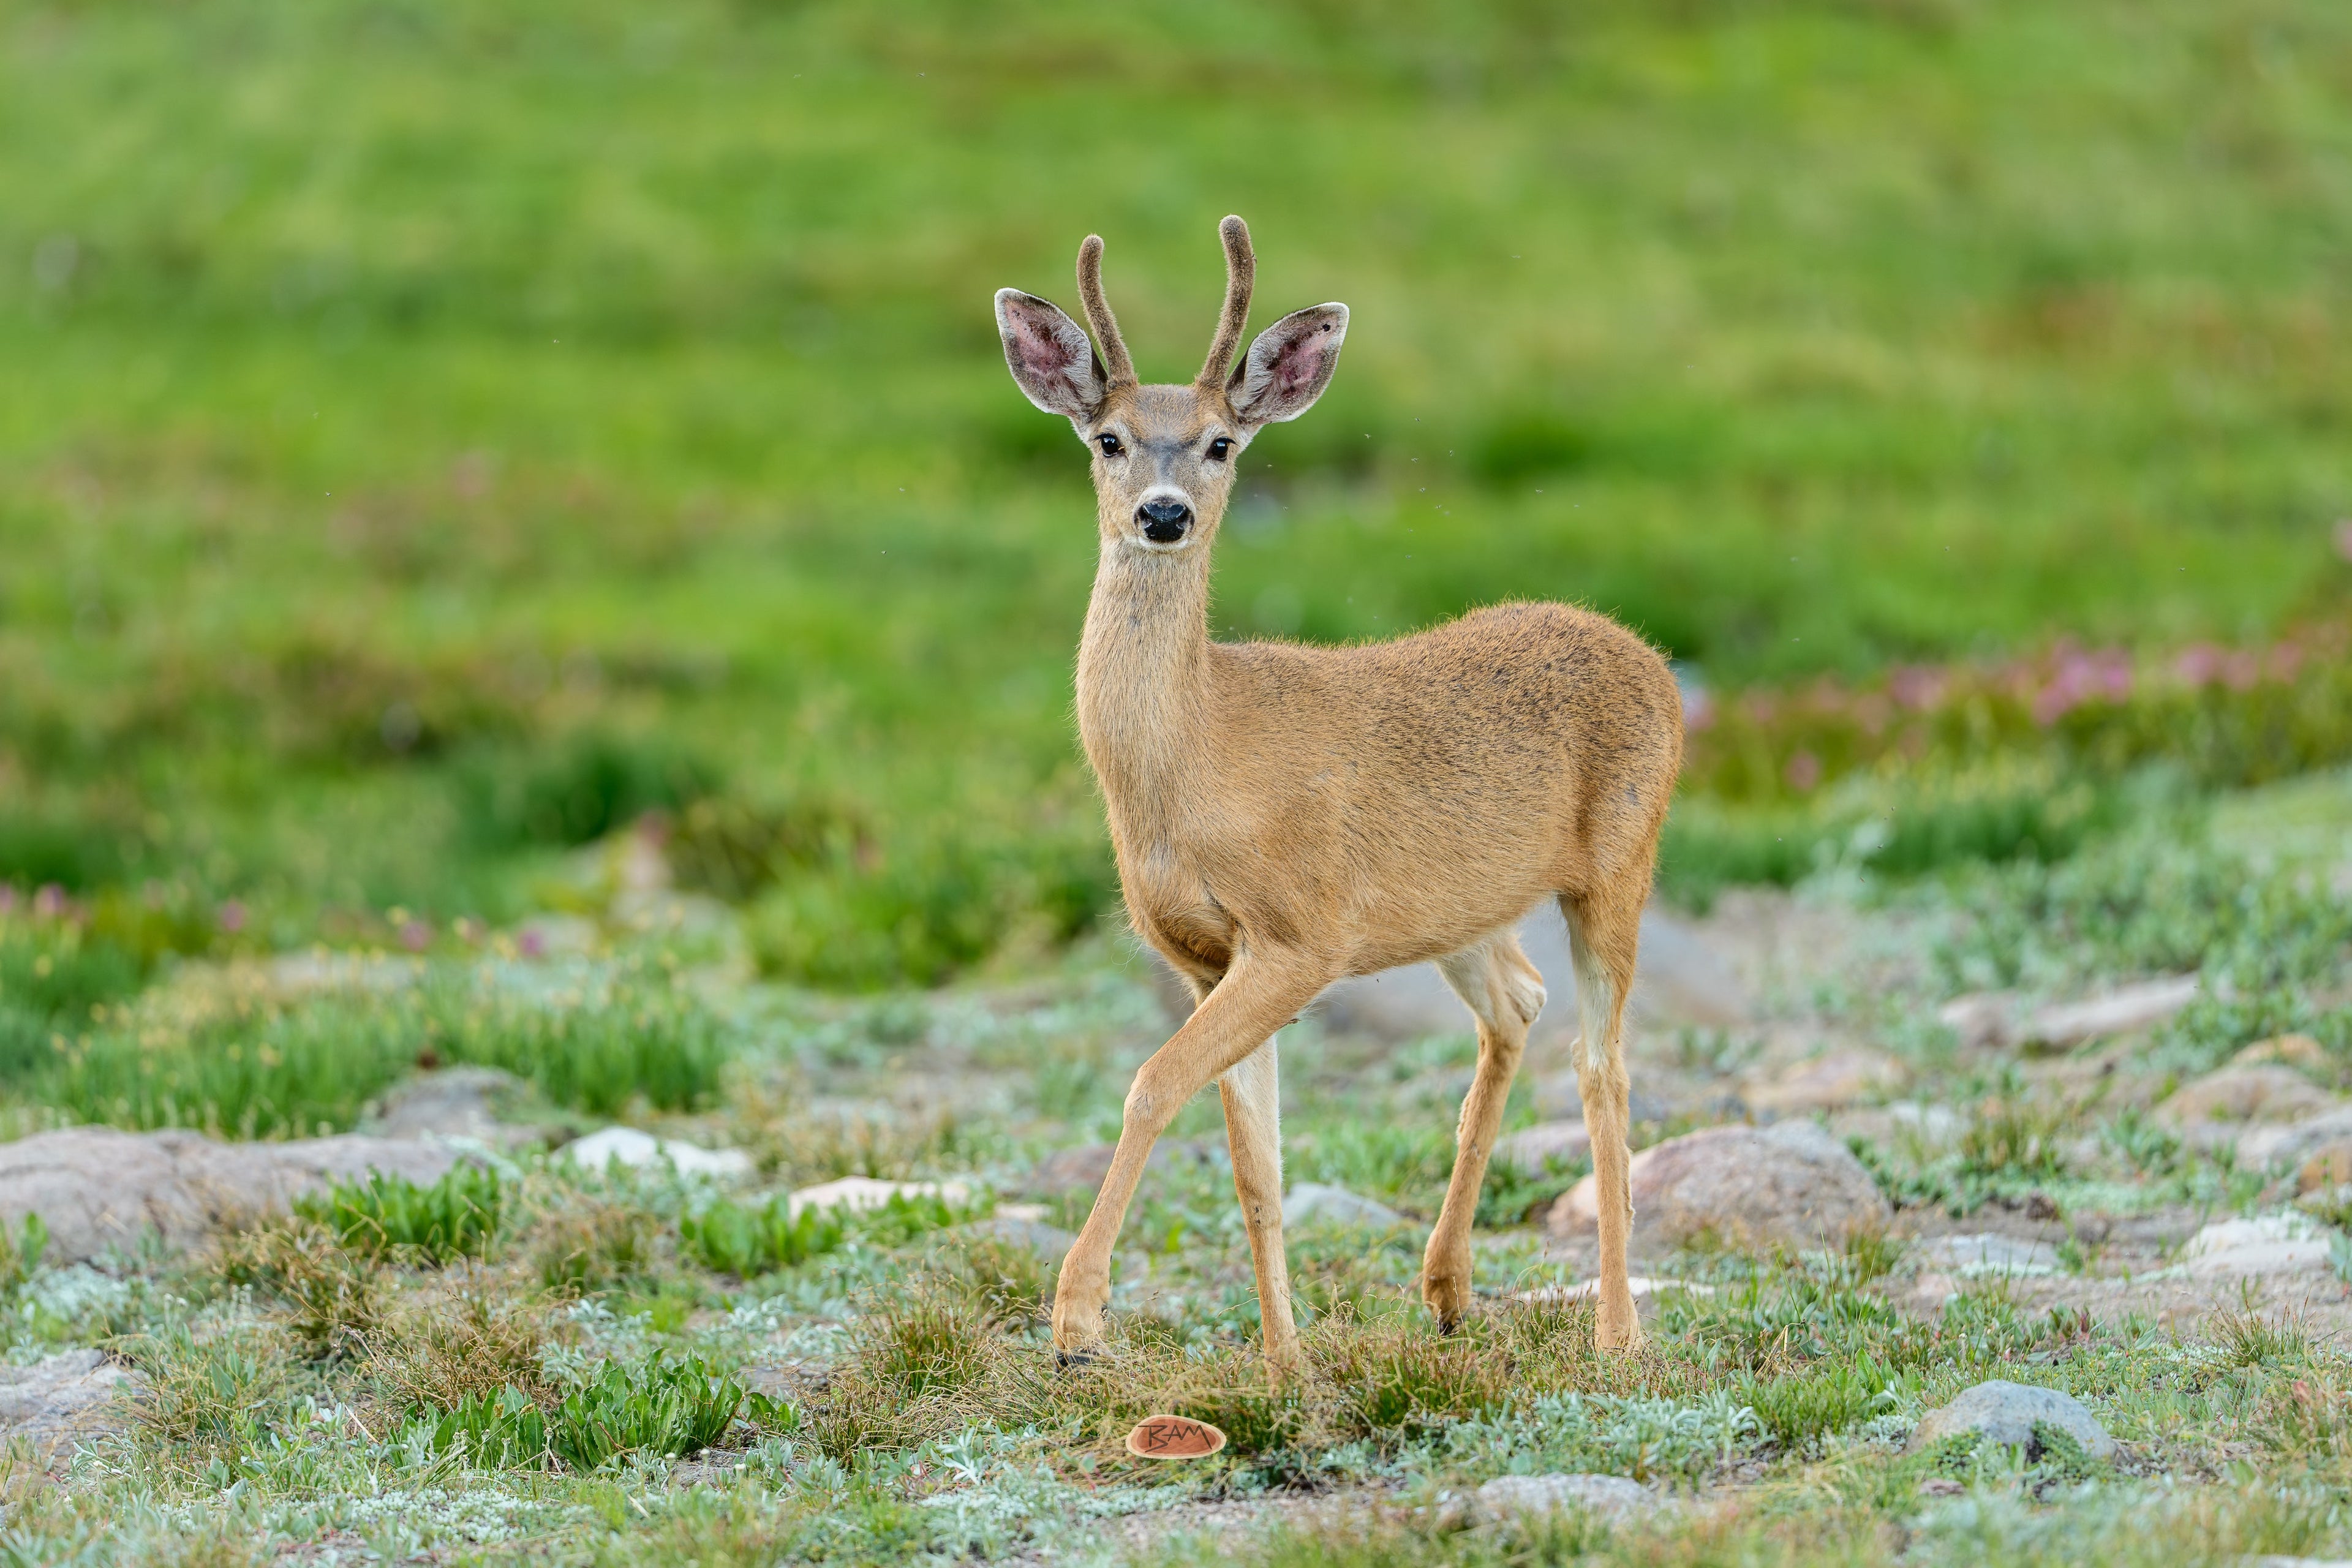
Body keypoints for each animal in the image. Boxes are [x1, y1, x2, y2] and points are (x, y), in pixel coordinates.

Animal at [992, 217, 1682, 1375]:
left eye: (1222, 443)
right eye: (1110, 440)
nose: (1165, 515)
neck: (1192, 761)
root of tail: (1653, 659)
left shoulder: (1301, 936)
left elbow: (1151, 1086)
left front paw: (1077, 1321)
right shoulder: (1205, 957)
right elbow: (1254, 1162)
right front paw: (1286, 1364)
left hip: (1619, 866)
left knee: (1605, 1069)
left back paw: (1617, 1335)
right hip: (1459, 912)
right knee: (1520, 1004)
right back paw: (1445, 1290)